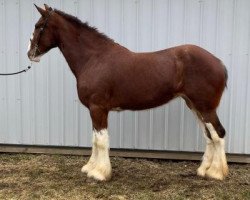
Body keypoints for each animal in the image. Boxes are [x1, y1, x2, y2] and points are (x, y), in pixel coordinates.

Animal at [27, 4, 229, 182]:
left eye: (39, 26)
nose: (30, 54)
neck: (94, 59)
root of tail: (218, 62)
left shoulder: (98, 108)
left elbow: (101, 141)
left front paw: (100, 173)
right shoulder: (94, 110)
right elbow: (94, 139)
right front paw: (90, 168)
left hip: (205, 108)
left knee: (218, 134)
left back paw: (216, 173)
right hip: (194, 106)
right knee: (208, 136)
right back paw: (203, 170)